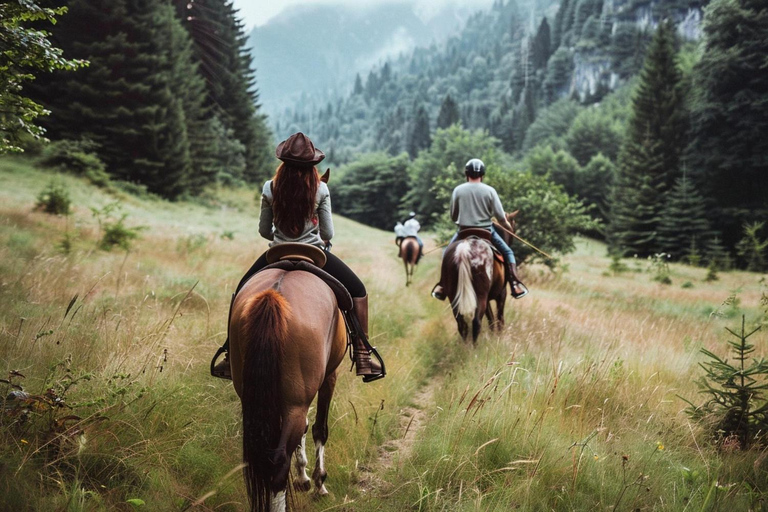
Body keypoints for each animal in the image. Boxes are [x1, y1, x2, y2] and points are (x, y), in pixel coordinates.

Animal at [230, 270, 346, 510]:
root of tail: (274, 295)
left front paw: (303, 477)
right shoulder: (330, 375)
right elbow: (319, 428)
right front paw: (318, 482)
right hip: (296, 403)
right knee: (279, 462)